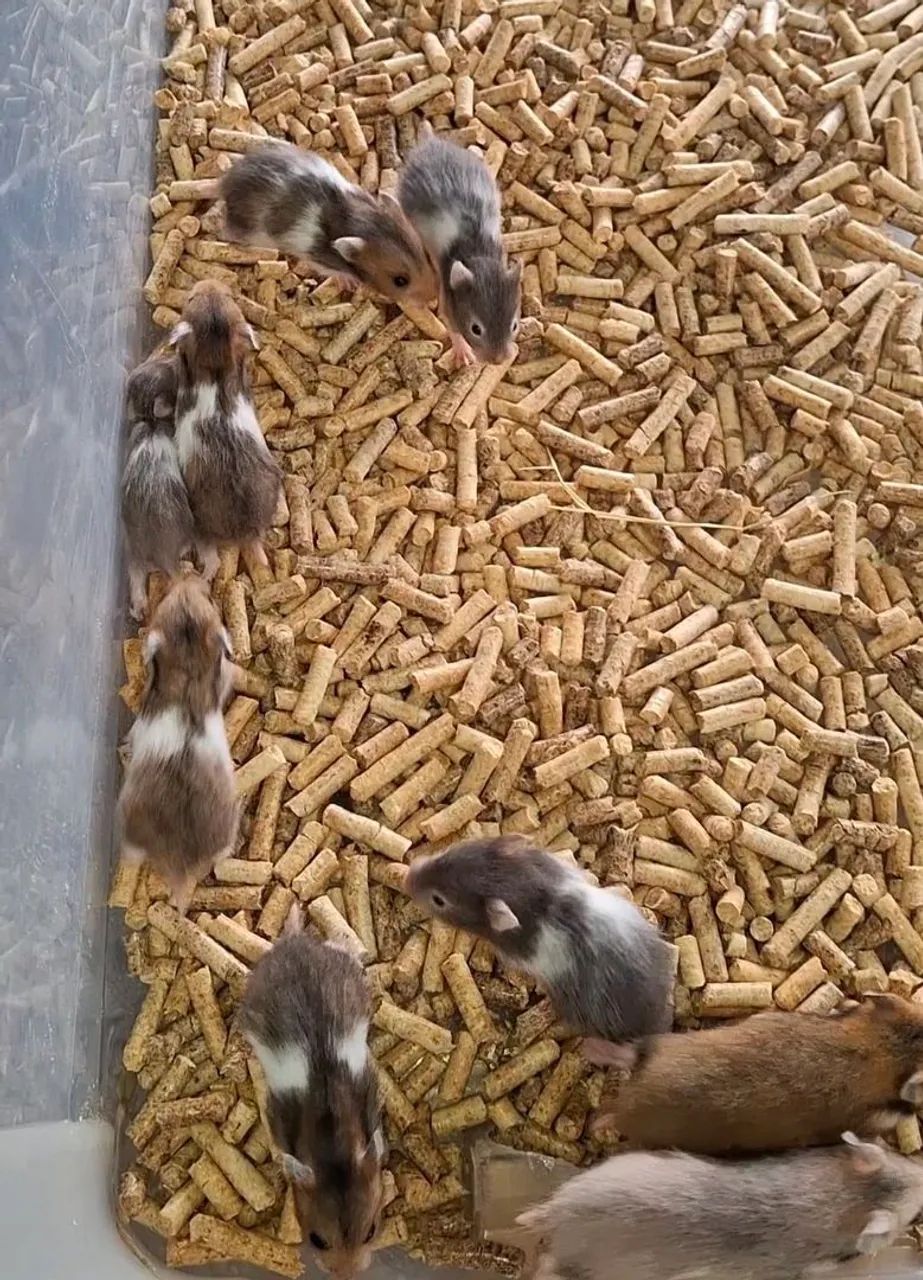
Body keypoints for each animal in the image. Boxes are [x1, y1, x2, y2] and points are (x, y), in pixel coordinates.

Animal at [169, 279, 282, 580]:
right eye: (232, 297)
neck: (216, 364)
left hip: (201, 527)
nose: (209, 281)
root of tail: (247, 533)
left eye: (190, 299)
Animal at [220, 142, 436, 308]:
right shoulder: (321, 260)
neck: (362, 222)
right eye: (400, 281)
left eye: (427, 255)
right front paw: (350, 283)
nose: (434, 298)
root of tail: (225, 183)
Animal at [397, 135, 521, 367]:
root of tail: (431, 143)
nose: (498, 361)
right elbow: (453, 330)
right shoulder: (448, 305)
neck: (479, 256)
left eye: (514, 326)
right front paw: (464, 356)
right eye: (475, 329)